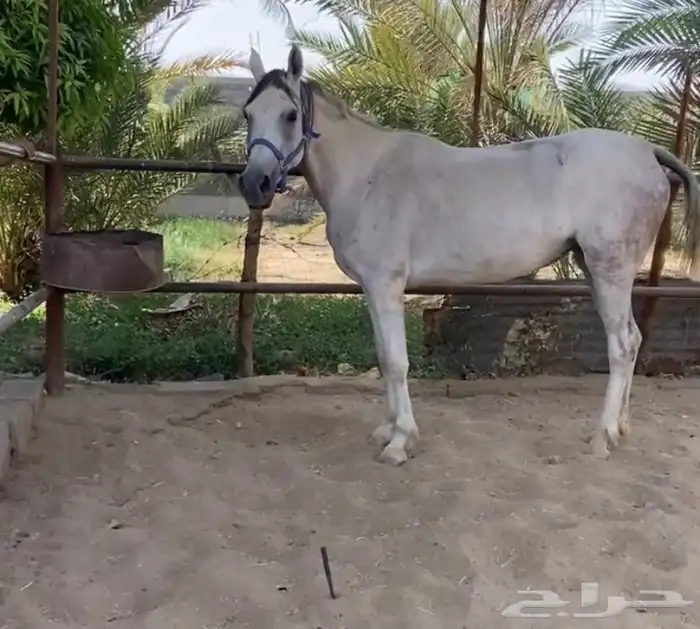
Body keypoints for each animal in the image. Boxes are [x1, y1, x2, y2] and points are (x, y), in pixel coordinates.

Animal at [237, 44, 700, 466]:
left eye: (290, 115)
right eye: (248, 113)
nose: (254, 183)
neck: (367, 175)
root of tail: (648, 152)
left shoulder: (386, 285)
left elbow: (396, 361)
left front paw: (400, 442)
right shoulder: (372, 289)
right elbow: (384, 358)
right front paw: (388, 429)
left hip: (611, 270)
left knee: (621, 345)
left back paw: (602, 437)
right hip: (596, 268)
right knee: (633, 340)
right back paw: (620, 428)